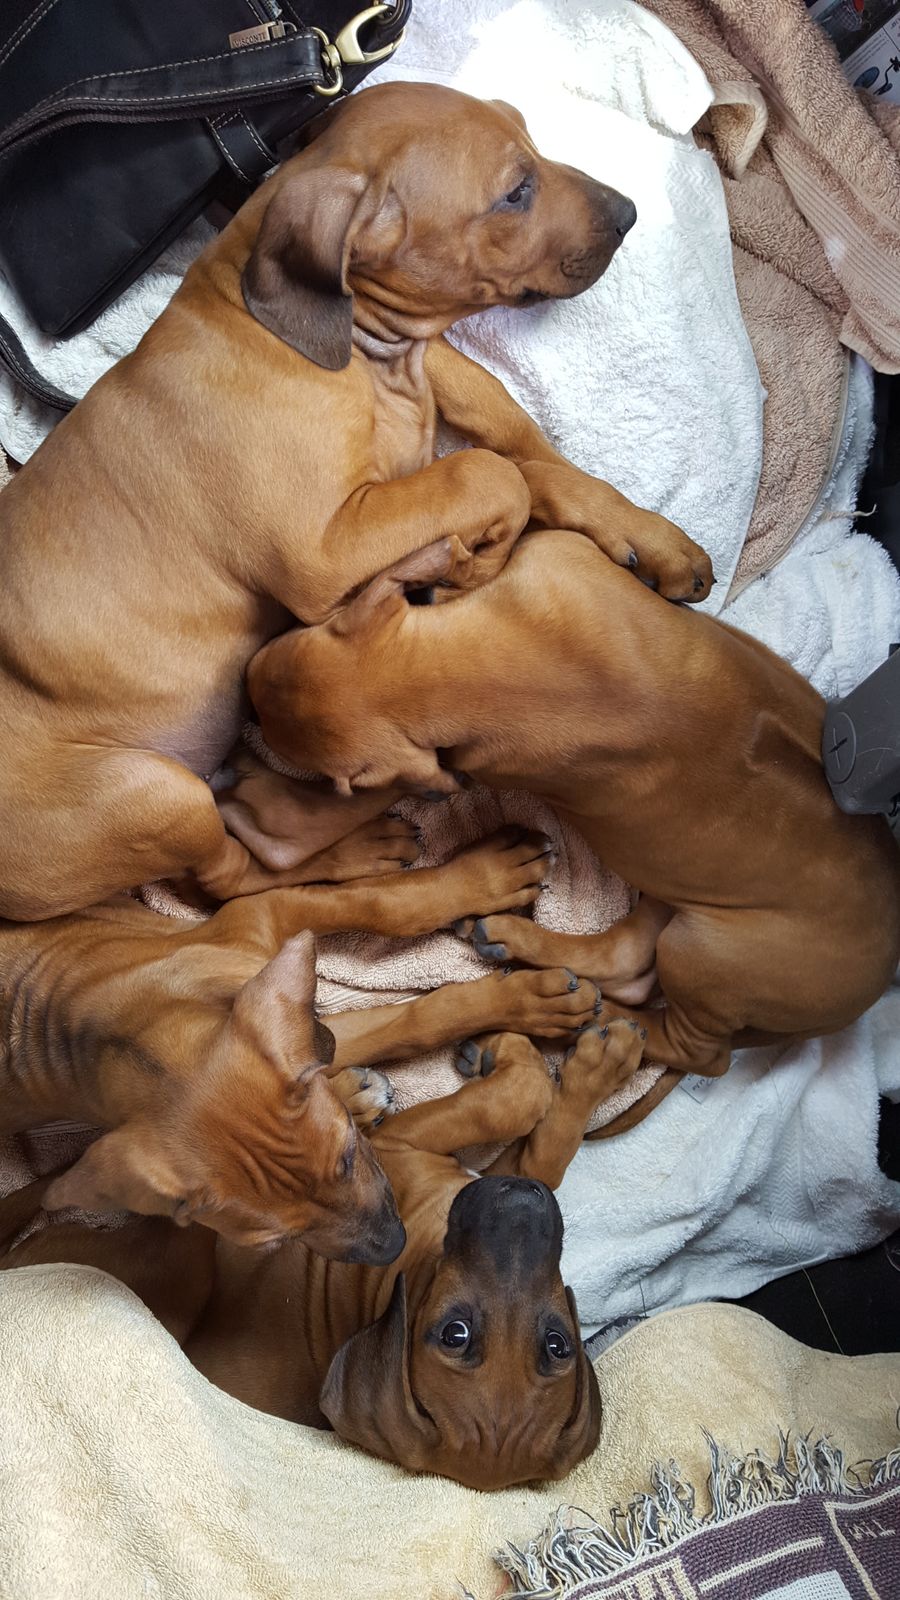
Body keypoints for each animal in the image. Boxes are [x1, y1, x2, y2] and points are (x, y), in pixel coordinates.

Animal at [0, 81, 711, 924]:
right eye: (515, 192)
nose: (629, 213)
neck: (360, 354)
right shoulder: (323, 549)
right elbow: (488, 472)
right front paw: (474, 560)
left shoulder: (422, 410)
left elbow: (519, 452)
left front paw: (643, 535)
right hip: (149, 797)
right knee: (243, 880)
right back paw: (404, 861)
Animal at [0, 825, 588, 1256]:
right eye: (274, 1242)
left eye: (348, 1157)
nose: (392, 1247)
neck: (129, 1040)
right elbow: (402, 1022)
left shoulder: (264, 923)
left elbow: (384, 908)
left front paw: (490, 895)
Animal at [0, 1020, 641, 1488]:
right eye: (558, 1345)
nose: (520, 1213)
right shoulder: (455, 1165)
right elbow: (532, 1124)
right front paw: (577, 1064)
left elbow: (523, 1113)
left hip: (179, 1260)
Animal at [246, 529, 900, 1115]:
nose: (245, 698)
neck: (460, 672)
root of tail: (870, 995)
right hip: (677, 910)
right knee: (628, 962)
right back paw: (524, 952)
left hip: (708, 952)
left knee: (700, 1051)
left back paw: (593, 1017)